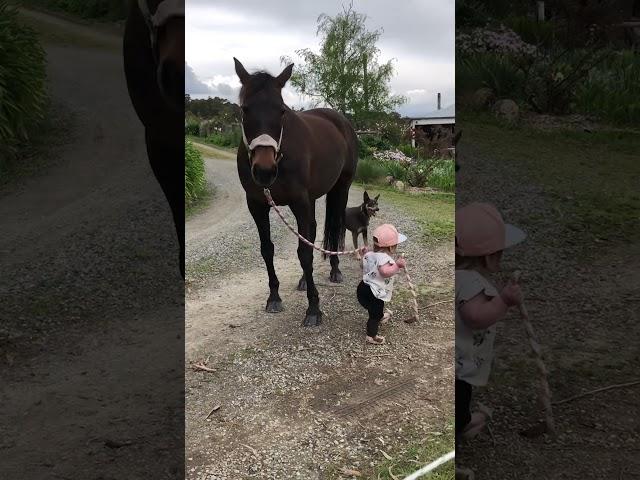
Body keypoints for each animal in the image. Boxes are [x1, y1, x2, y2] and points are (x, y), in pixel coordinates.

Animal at [234, 56, 360, 326]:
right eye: (245, 109)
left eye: (281, 110)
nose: (264, 170)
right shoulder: (257, 205)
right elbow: (267, 249)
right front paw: (274, 297)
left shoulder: (299, 202)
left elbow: (304, 253)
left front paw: (313, 308)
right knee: (311, 233)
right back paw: (303, 280)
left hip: (340, 188)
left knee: (333, 227)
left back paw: (335, 270)